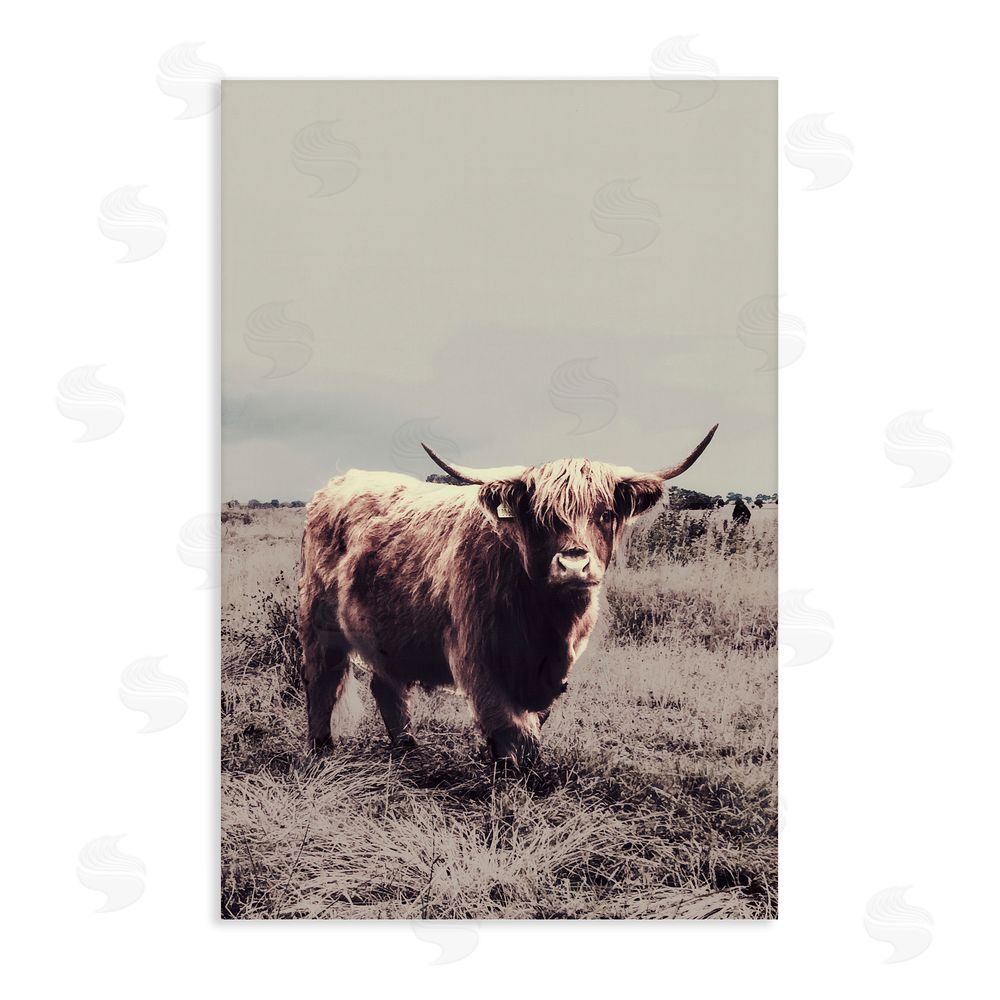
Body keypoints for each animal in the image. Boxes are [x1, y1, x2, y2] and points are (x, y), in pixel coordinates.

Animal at [298, 424, 718, 768]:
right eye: (541, 517)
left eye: (605, 513)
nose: (574, 565)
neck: (546, 621)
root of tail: (338, 483)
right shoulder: (477, 657)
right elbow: (509, 726)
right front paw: (512, 775)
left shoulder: (553, 670)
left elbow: (532, 721)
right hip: (318, 624)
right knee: (322, 681)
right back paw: (321, 749)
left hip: (386, 633)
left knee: (386, 685)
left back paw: (406, 748)